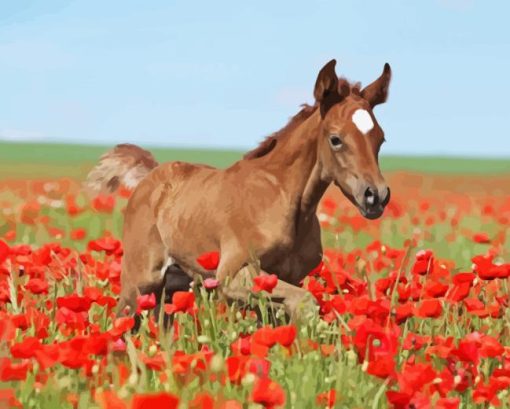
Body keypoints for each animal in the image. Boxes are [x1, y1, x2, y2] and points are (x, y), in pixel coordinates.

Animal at [86, 58, 390, 318]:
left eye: (381, 138)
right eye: (336, 139)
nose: (375, 196)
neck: (283, 200)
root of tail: (149, 177)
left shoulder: (286, 277)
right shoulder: (232, 275)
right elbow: (304, 301)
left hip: (174, 284)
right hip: (139, 283)